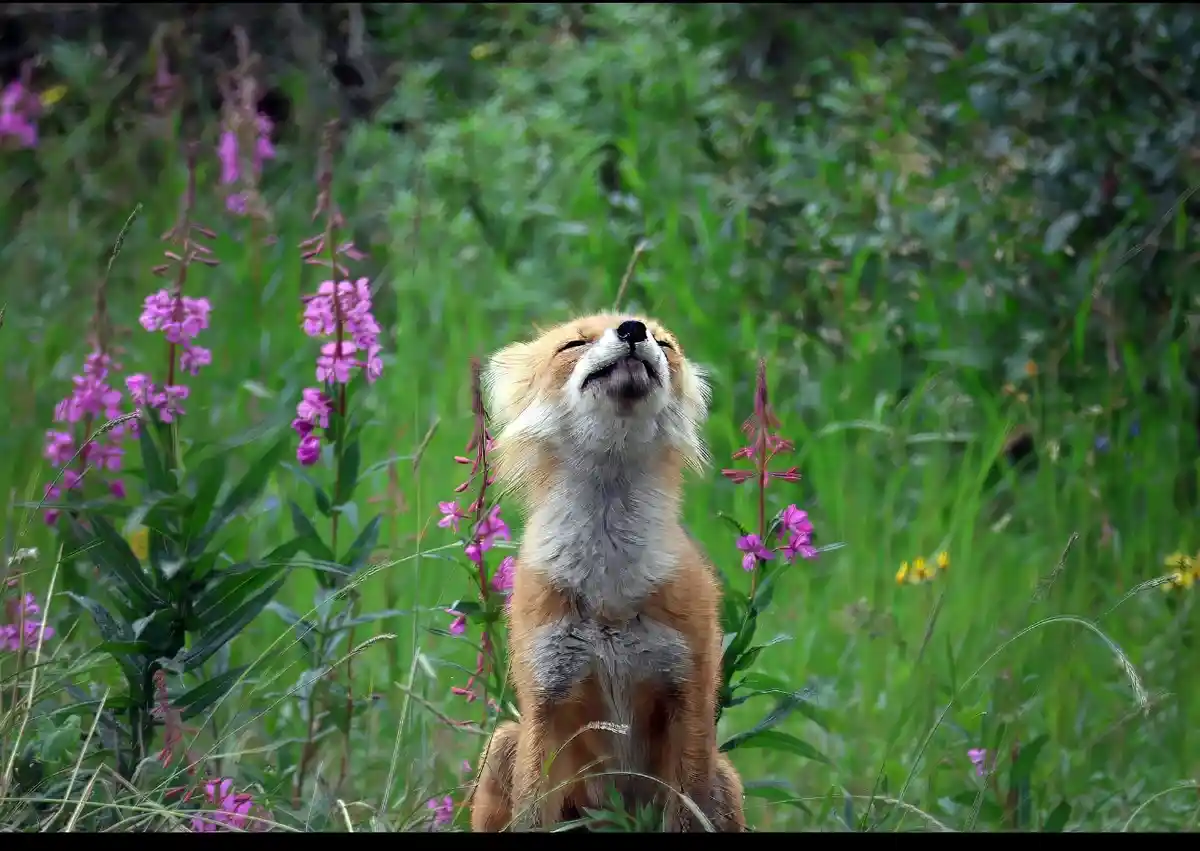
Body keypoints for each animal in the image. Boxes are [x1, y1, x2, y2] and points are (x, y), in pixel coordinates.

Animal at [468, 312, 745, 832]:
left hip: (724, 776)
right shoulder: (547, 700)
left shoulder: (689, 697)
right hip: (503, 745)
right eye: (574, 344)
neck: (609, 591)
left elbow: (686, 811)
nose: (634, 329)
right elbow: (532, 812)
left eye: (665, 343)